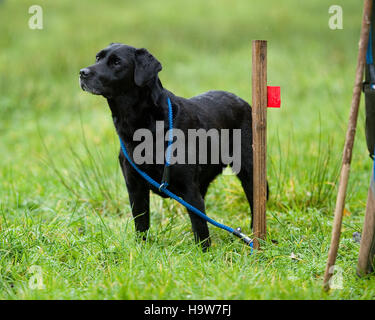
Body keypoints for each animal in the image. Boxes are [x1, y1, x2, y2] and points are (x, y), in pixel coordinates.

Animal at [80, 43, 262, 250]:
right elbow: (141, 224)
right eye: (97, 58)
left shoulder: (189, 189)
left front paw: (205, 254)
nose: (82, 73)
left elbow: (200, 228)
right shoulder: (135, 187)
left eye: (117, 62)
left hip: (248, 172)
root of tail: (243, 102)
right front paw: (141, 249)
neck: (143, 126)